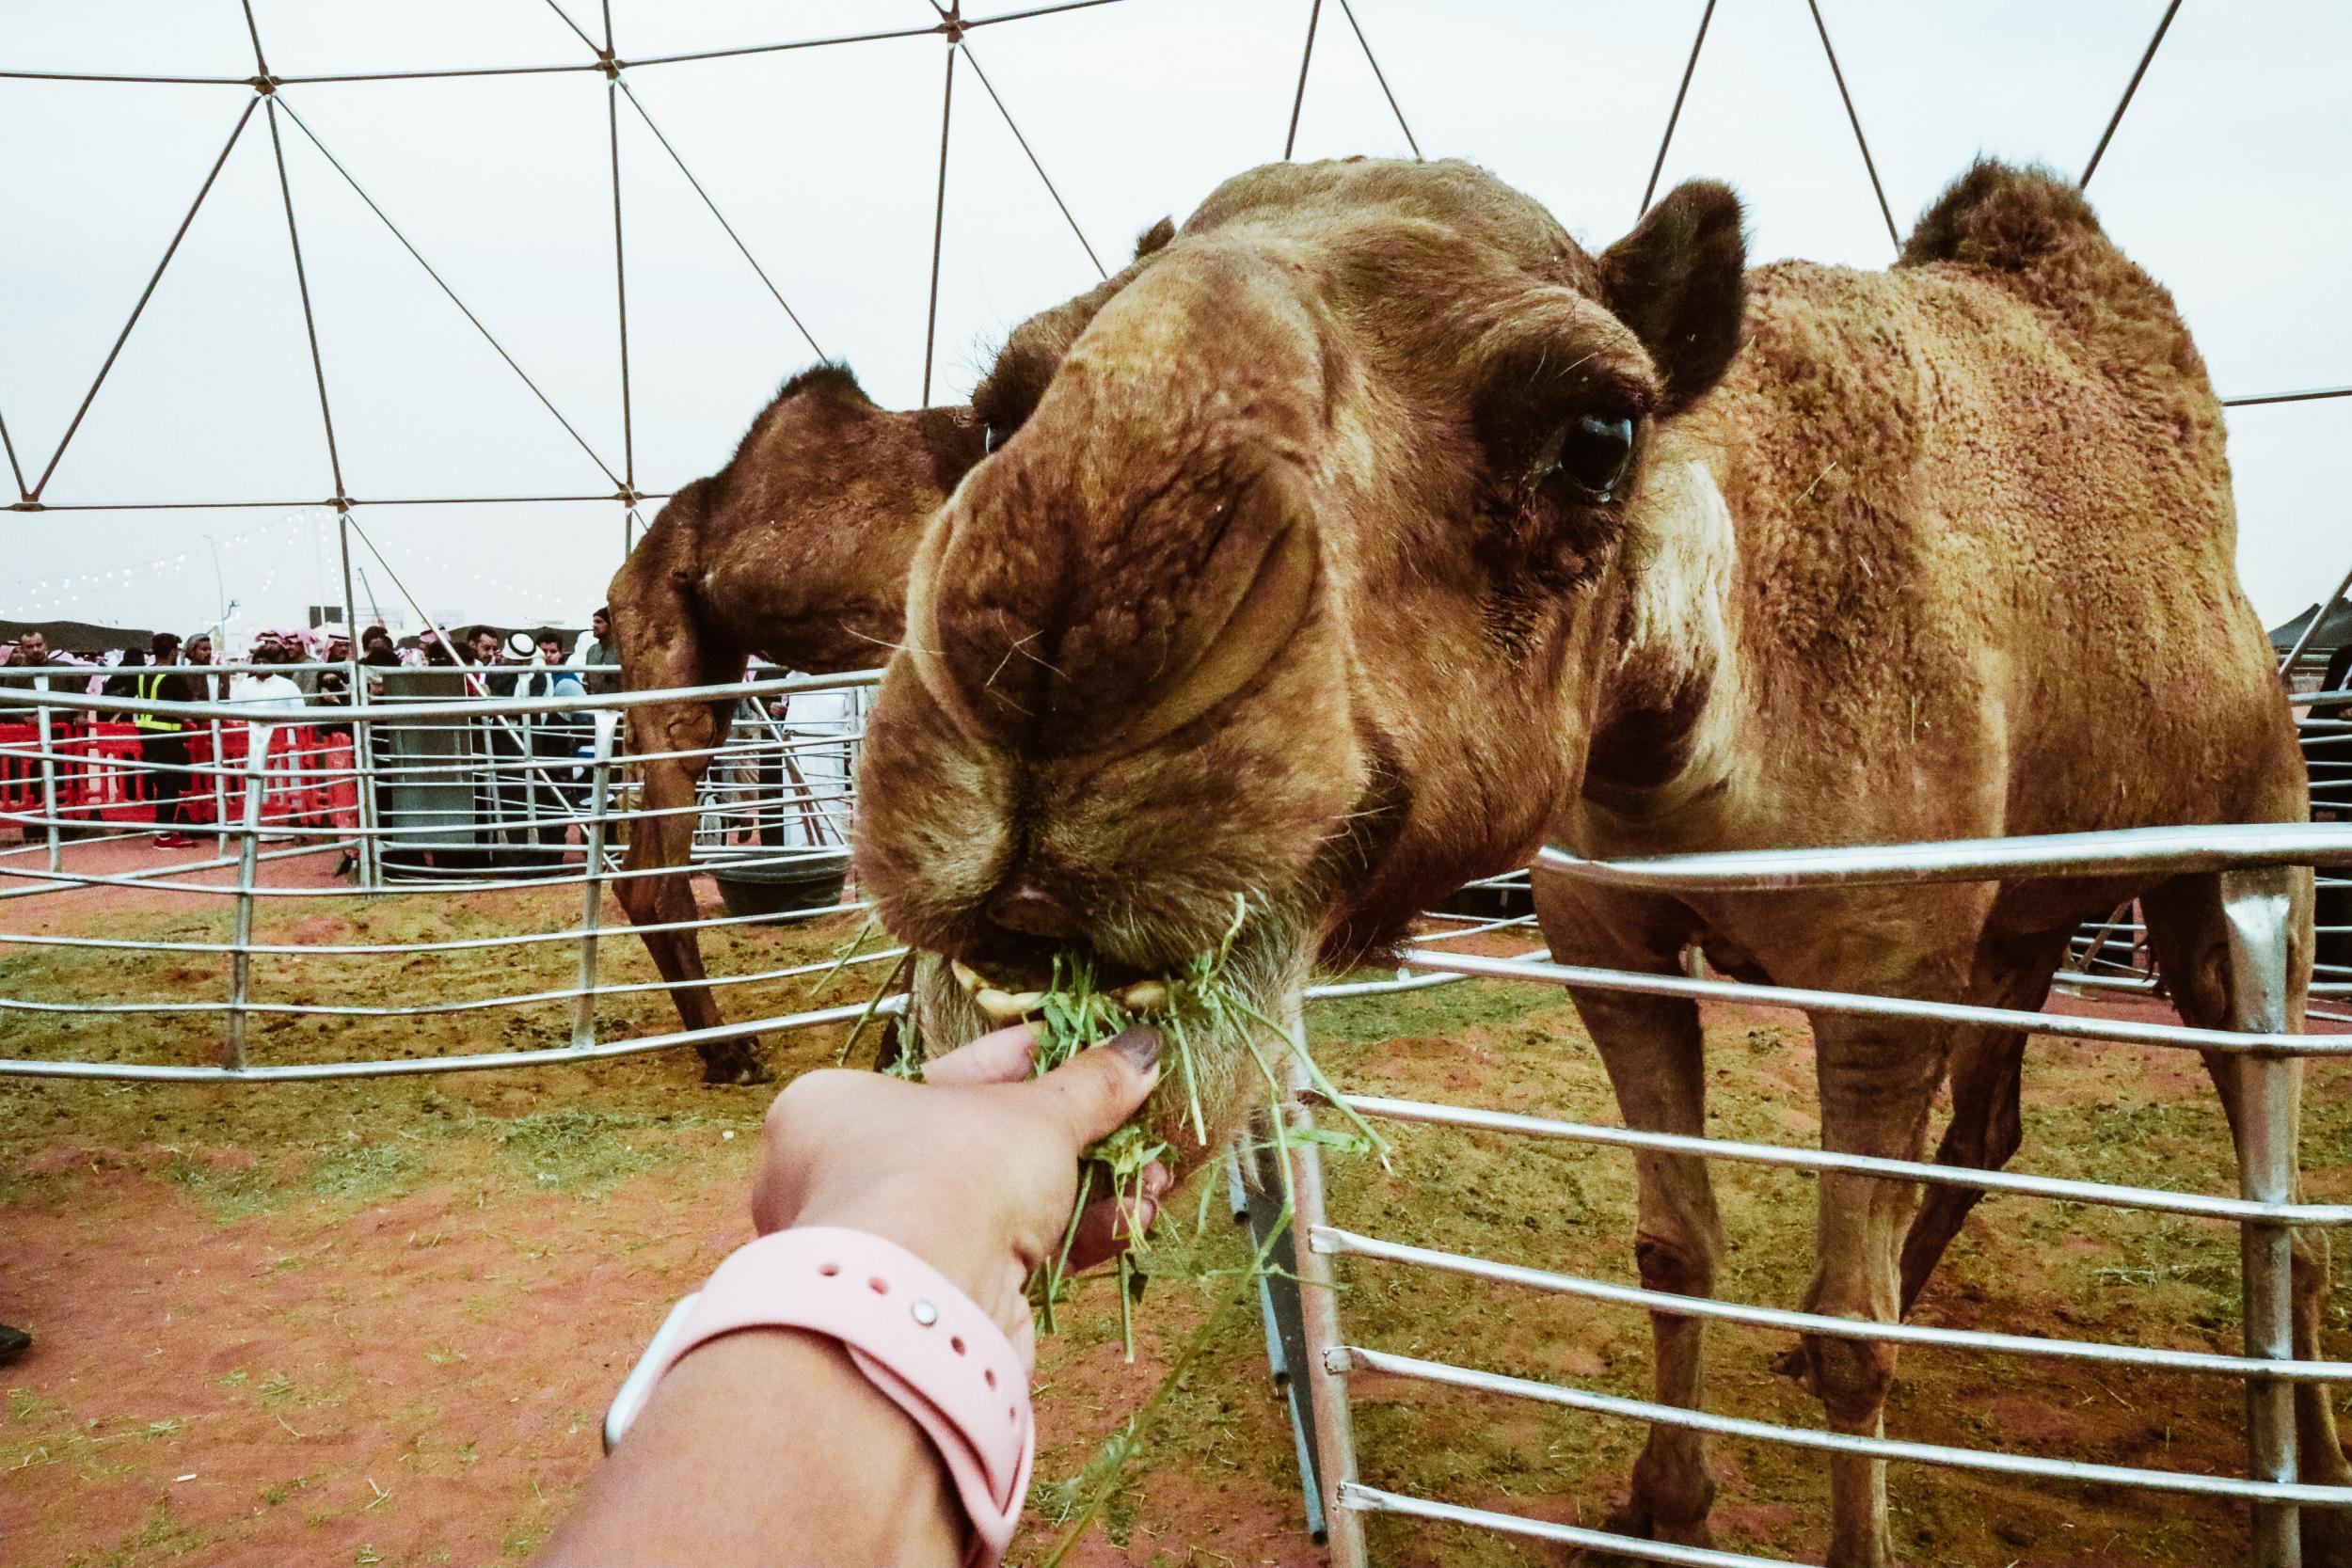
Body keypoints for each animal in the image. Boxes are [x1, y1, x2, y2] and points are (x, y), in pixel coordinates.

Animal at [856, 162, 2343, 1568]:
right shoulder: (1609, 938)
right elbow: (1673, 1247)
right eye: (996, 405)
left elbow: (1851, 1322)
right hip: (2023, 920)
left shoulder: (1881, 973)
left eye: (1597, 434)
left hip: (2236, 858)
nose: (1048, 660)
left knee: (2270, 1192)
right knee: (1989, 1131)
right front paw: (1663, 1498)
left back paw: (2309, 1474)